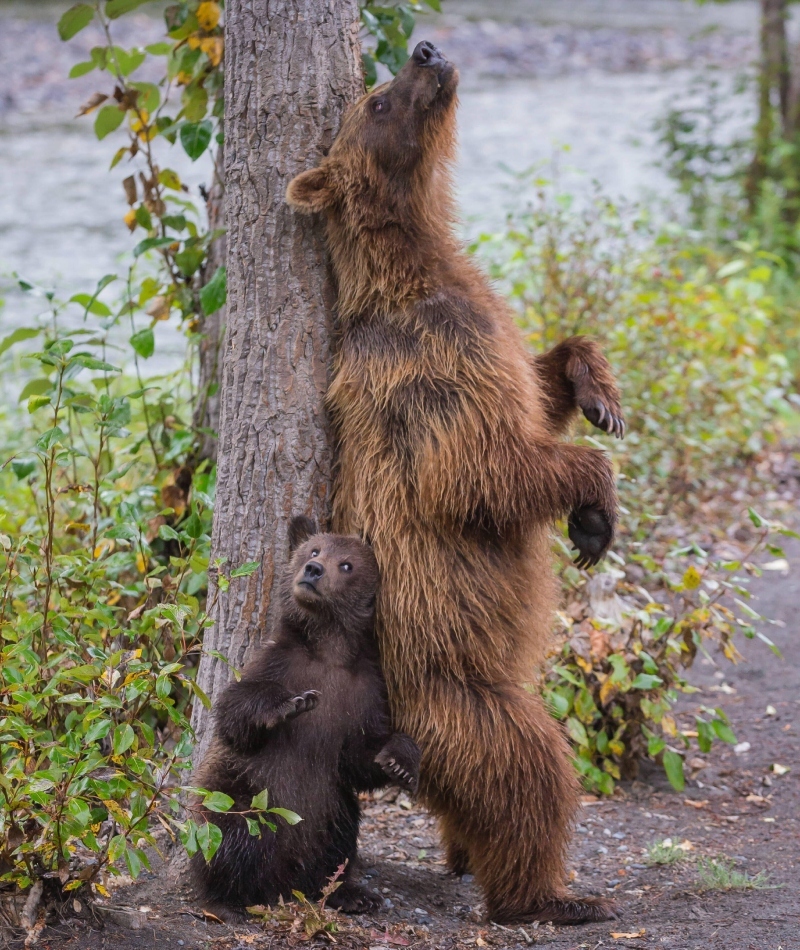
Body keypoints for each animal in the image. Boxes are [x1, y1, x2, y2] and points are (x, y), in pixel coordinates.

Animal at [288, 41, 624, 924]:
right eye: (376, 101)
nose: (426, 50)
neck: (417, 267)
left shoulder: (485, 326)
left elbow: (536, 386)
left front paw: (597, 392)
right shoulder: (428, 370)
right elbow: (483, 471)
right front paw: (597, 505)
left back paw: (467, 856)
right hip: (455, 700)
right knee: (530, 766)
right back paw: (548, 893)